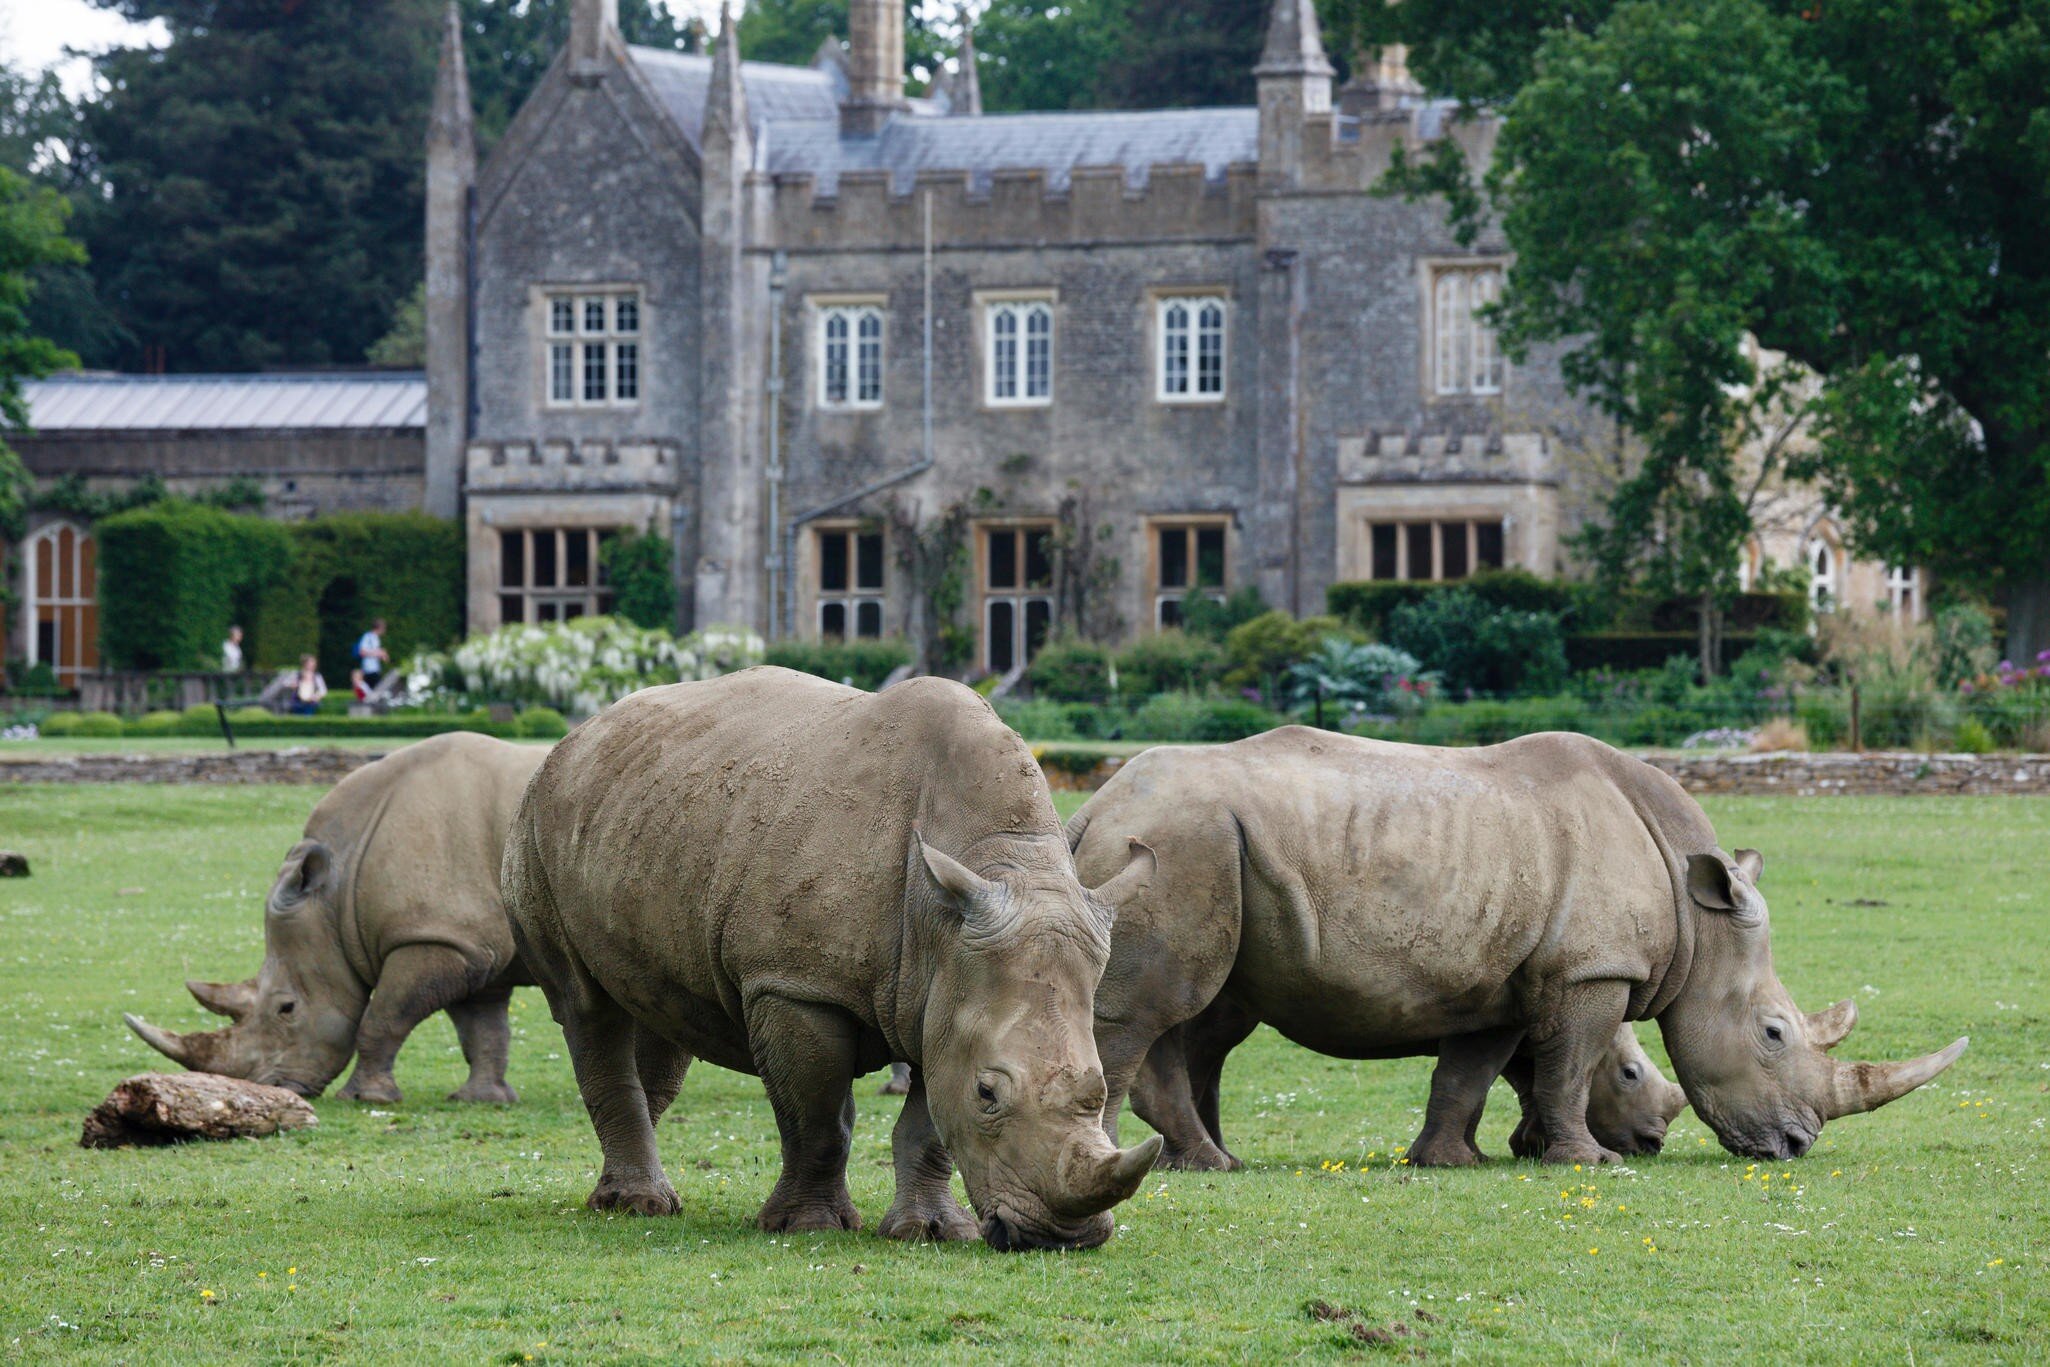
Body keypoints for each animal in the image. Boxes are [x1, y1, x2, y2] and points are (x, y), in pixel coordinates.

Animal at [125, 733, 547, 1104]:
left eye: (287, 1008)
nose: (269, 1089)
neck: (337, 894)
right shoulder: (470, 945)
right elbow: (483, 1030)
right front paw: (482, 1099)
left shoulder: (438, 937)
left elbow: (384, 1017)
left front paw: (365, 1097)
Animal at [501, 668, 1161, 1251]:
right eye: (988, 1095)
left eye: (1100, 1090)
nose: (1063, 1239)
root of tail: (580, 734)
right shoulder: (794, 984)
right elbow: (816, 1118)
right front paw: (807, 1227)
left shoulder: (944, 991)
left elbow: (928, 1124)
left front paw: (930, 1232)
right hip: (534, 821)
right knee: (585, 1004)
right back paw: (636, 1205)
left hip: (643, 813)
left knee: (658, 1011)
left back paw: (635, 1195)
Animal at [1071, 728, 1964, 1166]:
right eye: (1774, 1033)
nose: (1797, 1146)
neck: (1701, 918)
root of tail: (1095, 805)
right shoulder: (1591, 968)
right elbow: (1571, 1059)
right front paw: (1586, 1163)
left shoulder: (1501, 979)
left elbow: (1475, 1070)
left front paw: (1455, 1160)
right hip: (1180, 842)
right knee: (1158, 1008)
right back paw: (1168, 1160)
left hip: (1200, 849)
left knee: (1204, 1017)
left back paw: (1203, 1158)